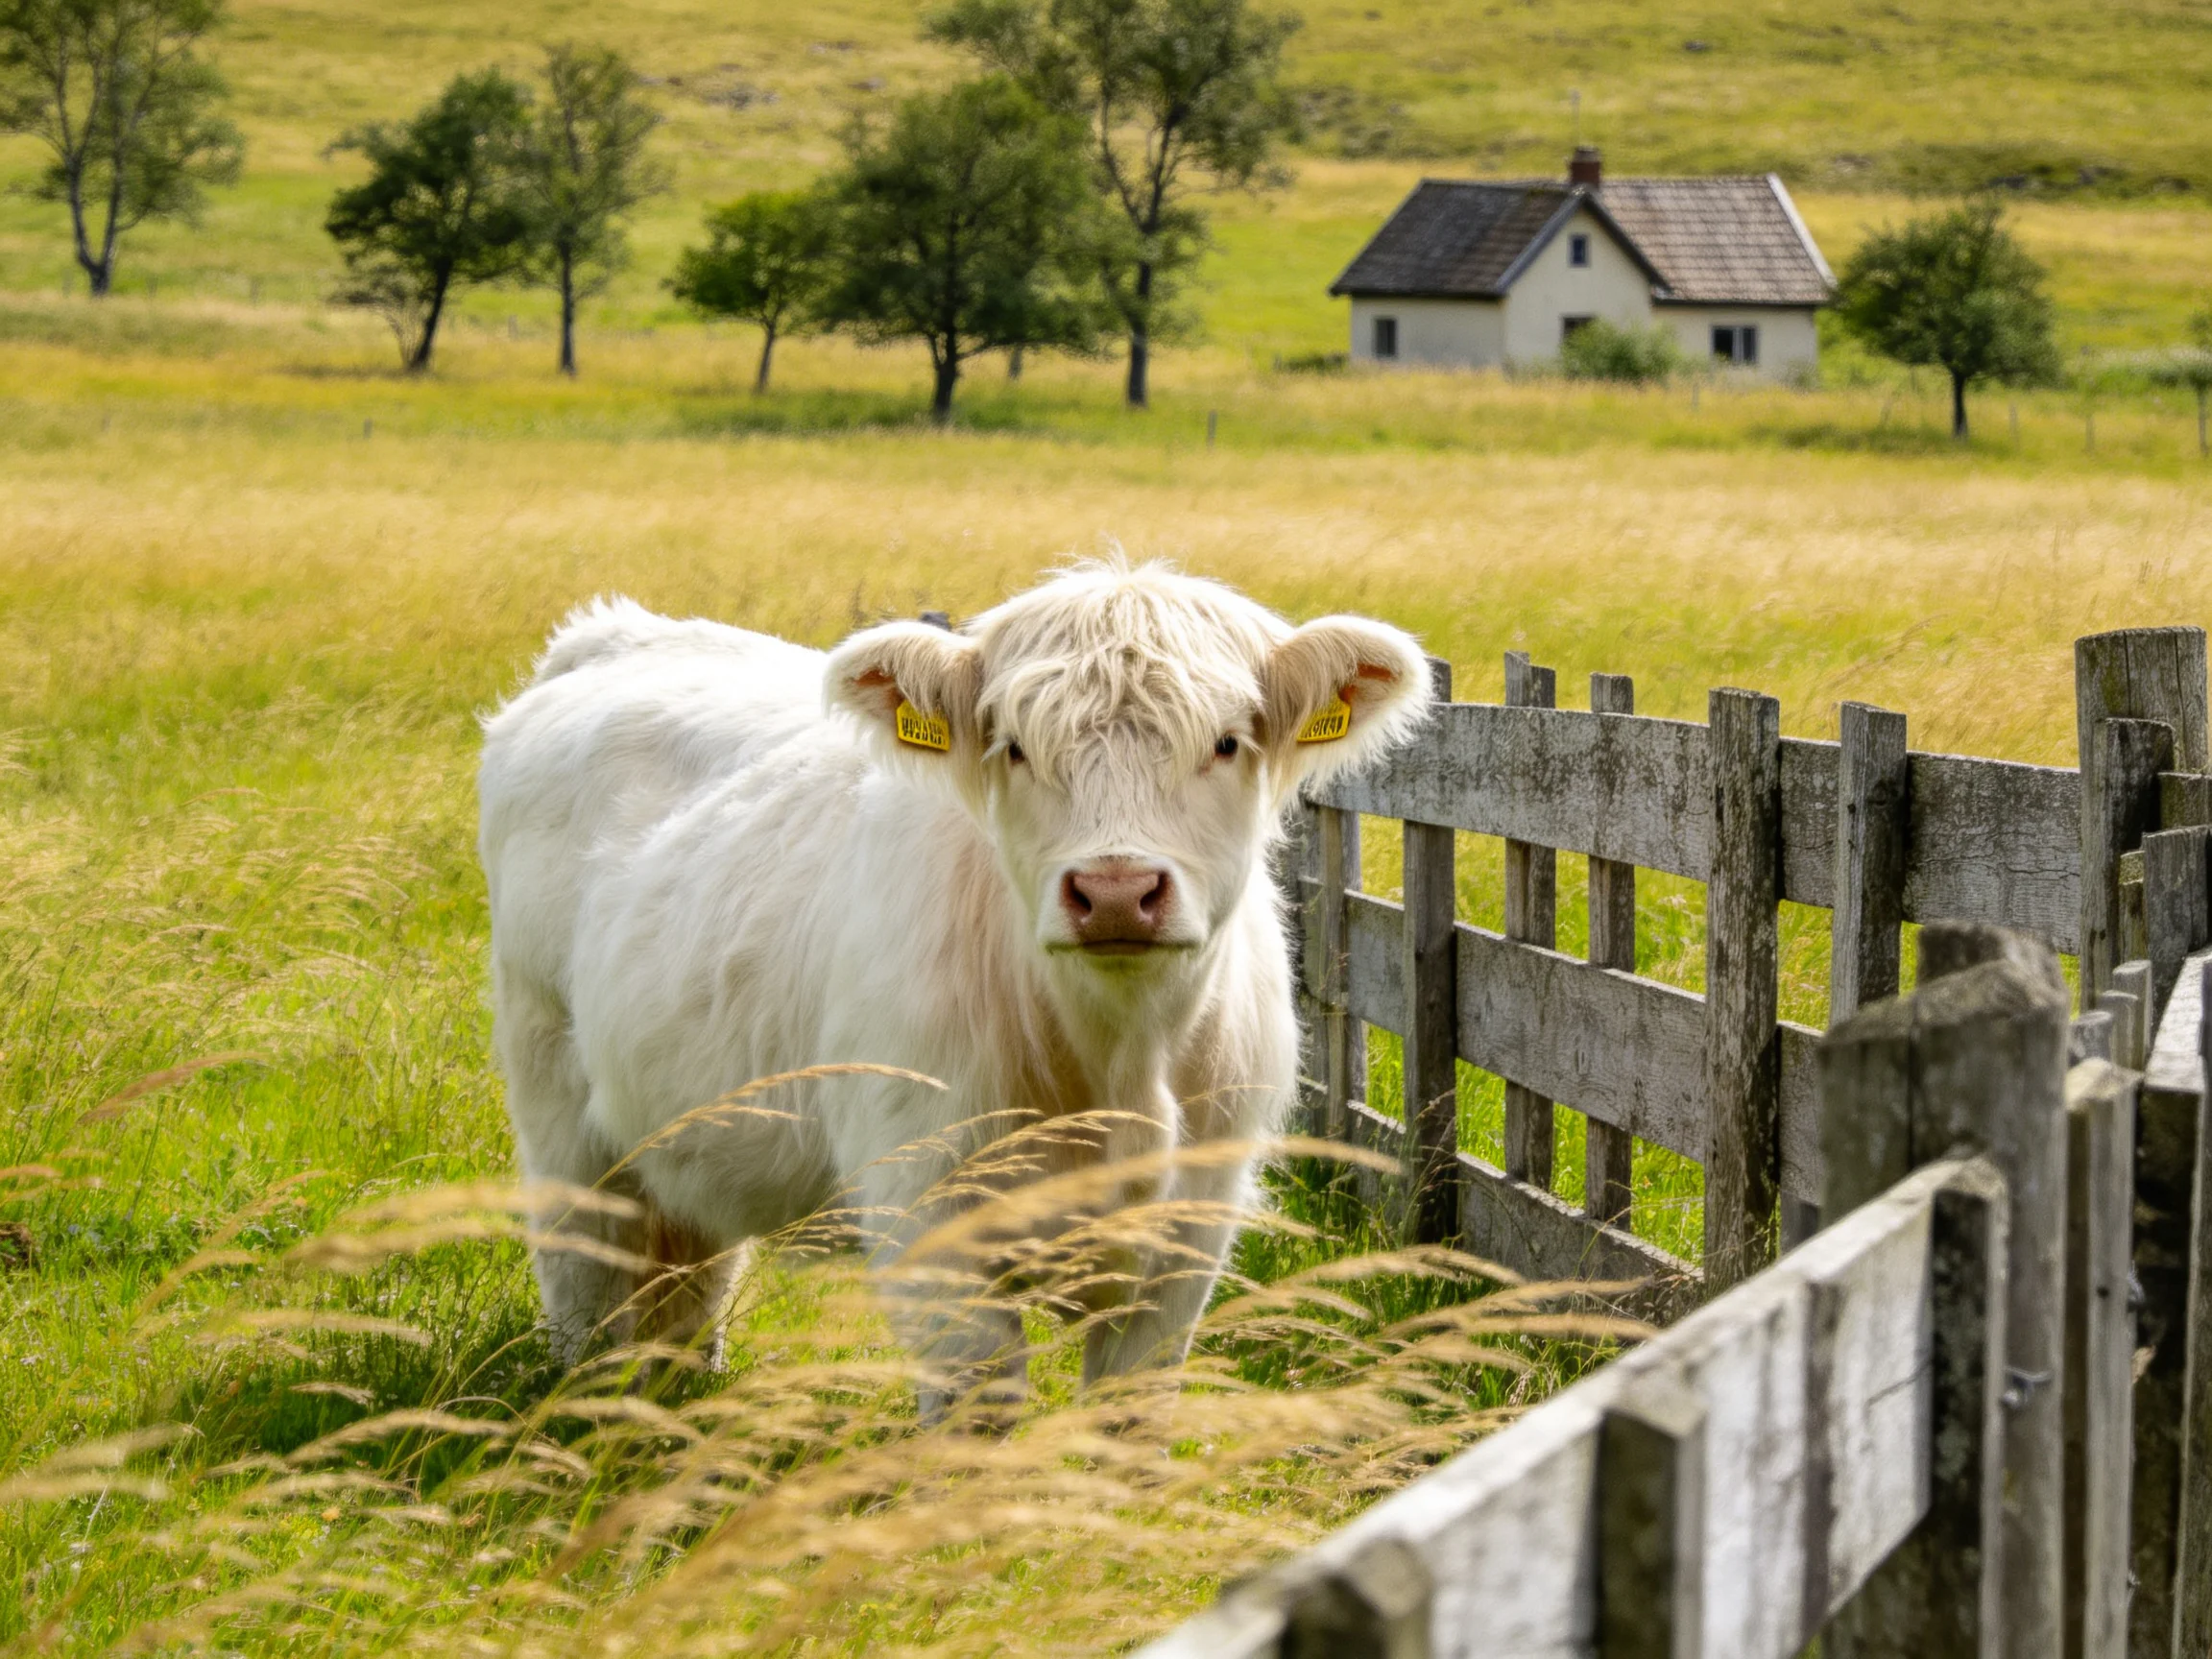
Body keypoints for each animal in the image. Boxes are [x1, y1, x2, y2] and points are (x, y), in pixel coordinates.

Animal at [477, 561, 1431, 1409]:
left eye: (1228, 742)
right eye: (1013, 747)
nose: (1115, 890)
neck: (1120, 1062)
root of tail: (615, 633)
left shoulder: (1189, 1235)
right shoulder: (928, 1218)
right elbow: (980, 1408)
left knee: (685, 1275)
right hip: (557, 1104)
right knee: (587, 1282)